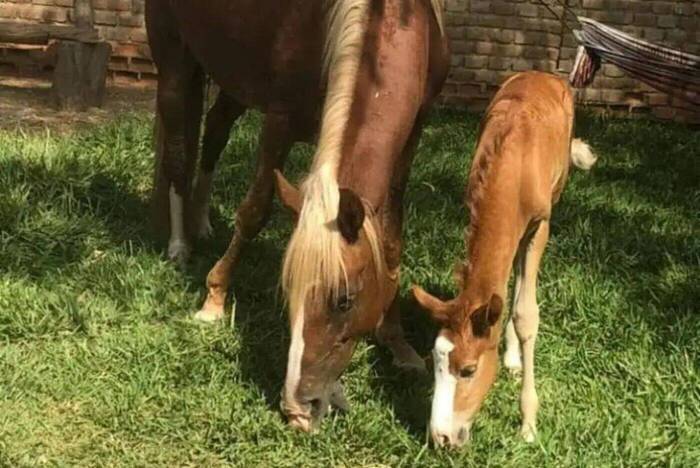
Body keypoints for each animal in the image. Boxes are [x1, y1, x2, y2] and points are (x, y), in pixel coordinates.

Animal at [145, 0, 449, 431]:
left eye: (345, 300)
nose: (298, 408)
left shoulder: (412, 136)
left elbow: (390, 241)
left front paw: (398, 343)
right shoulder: (279, 120)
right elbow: (254, 211)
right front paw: (214, 299)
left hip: (234, 78)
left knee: (216, 130)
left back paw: (201, 223)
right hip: (174, 60)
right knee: (176, 153)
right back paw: (179, 244)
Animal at [412, 71, 597, 447]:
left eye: (469, 369)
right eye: (434, 362)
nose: (441, 438)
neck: (515, 165)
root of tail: (544, 74)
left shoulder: (540, 225)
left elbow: (526, 314)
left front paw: (528, 422)